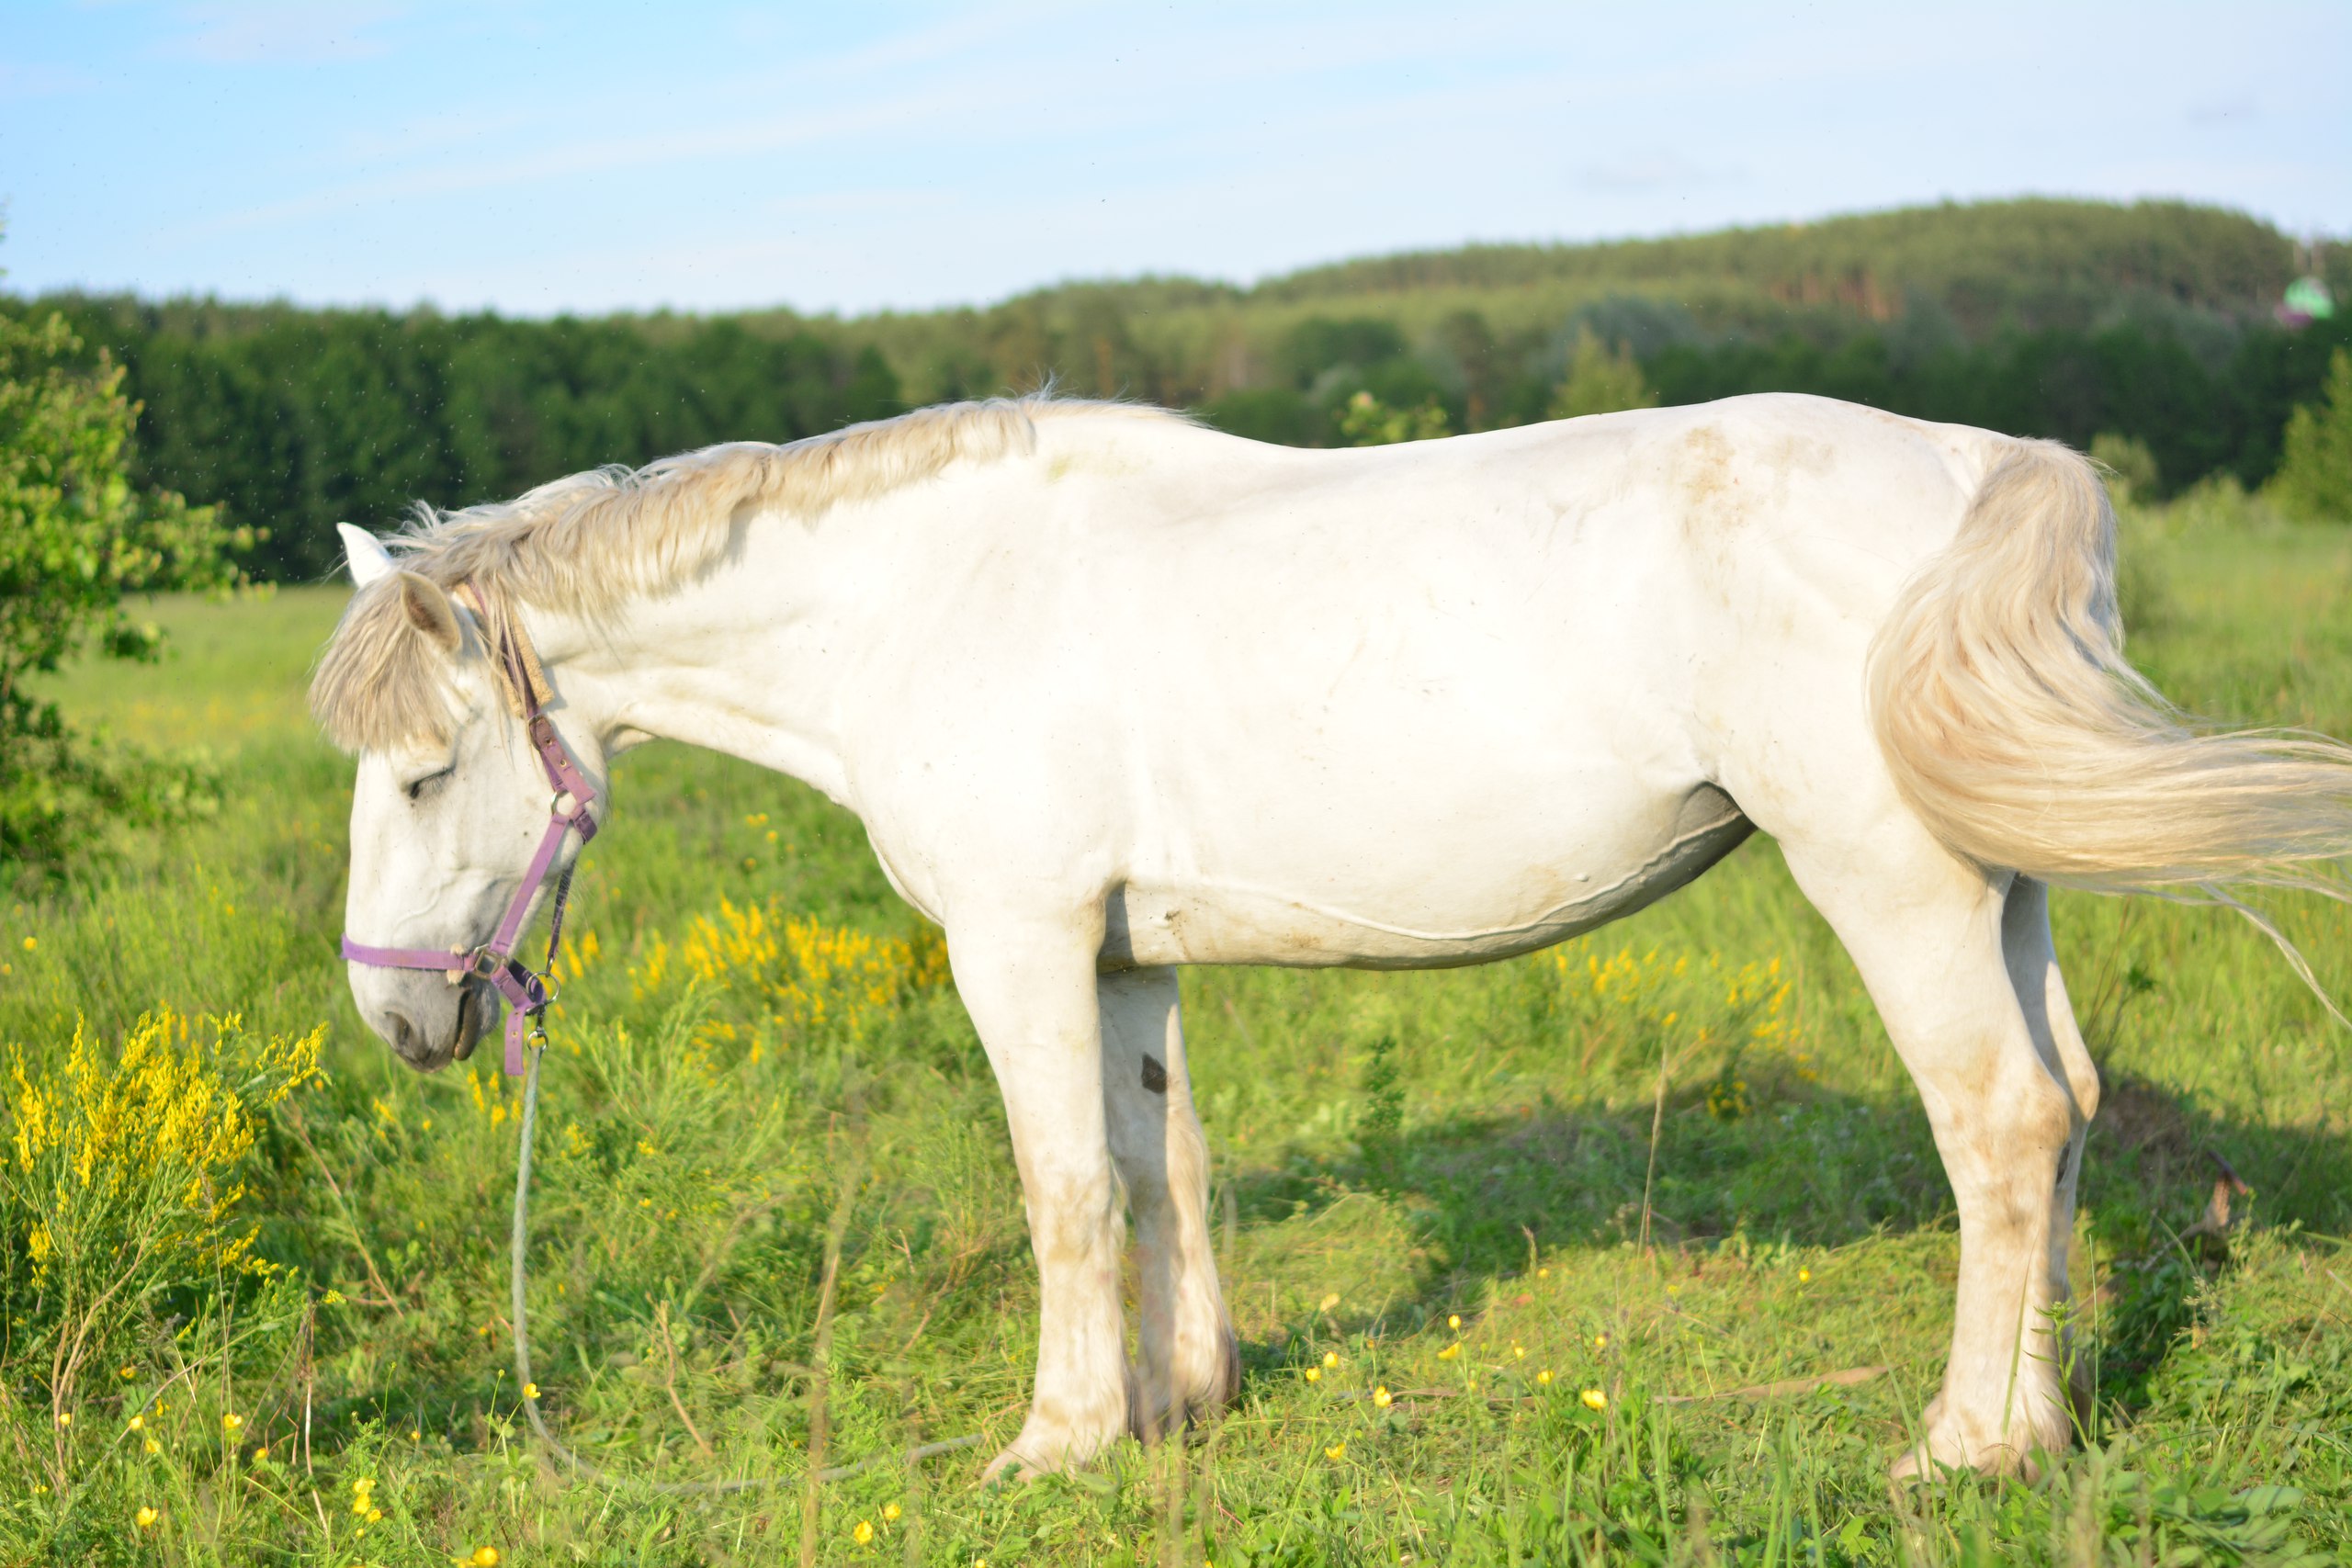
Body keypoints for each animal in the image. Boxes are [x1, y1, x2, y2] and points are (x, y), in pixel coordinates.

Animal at [317, 392, 2352, 1485]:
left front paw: (1056, 1440)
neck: (929, 602)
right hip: (1992, 879)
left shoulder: (1015, 944)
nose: (398, 1019)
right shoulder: (1123, 956)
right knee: (2066, 1105)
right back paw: (2042, 1415)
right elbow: (1162, 1169)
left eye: (421, 772)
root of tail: (1979, 459)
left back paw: (1963, 1444)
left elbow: (1065, 1188)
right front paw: (1179, 1401)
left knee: (1997, 1121)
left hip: (1892, 879)